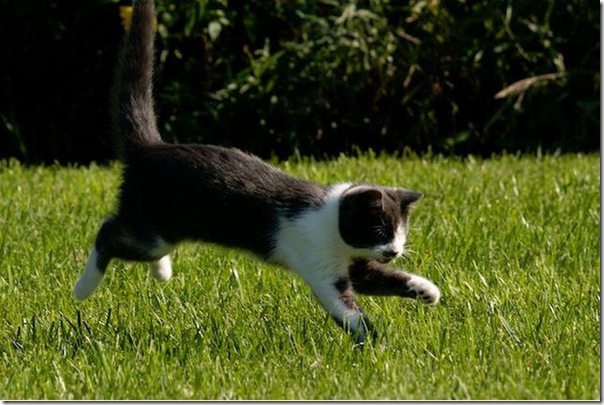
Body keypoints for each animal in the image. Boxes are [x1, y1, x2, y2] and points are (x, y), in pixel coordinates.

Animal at [74, 0, 438, 344]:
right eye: (379, 230)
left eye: (400, 234)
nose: (394, 251)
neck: (331, 224)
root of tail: (150, 147)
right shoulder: (319, 263)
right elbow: (344, 306)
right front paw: (373, 342)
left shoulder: (355, 263)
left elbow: (382, 278)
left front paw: (426, 289)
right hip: (150, 225)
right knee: (108, 233)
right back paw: (84, 287)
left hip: (162, 229)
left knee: (145, 246)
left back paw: (161, 271)